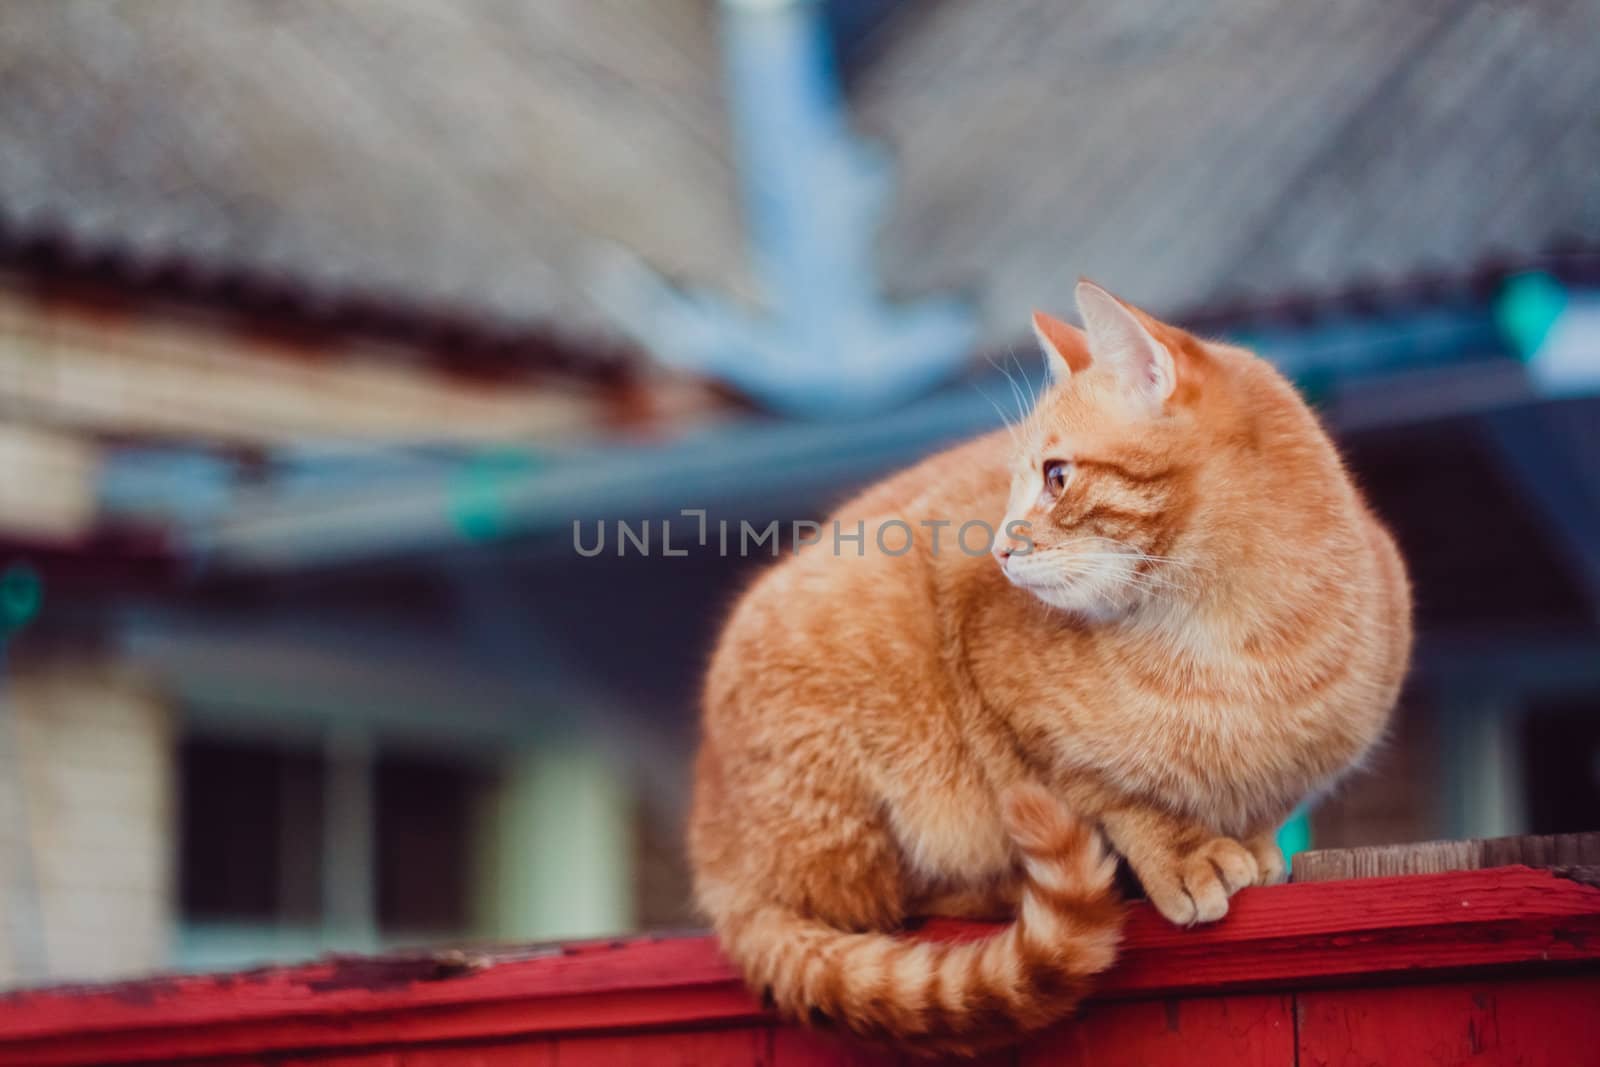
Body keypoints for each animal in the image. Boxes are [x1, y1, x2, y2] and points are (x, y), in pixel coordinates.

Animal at [688, 279, 1414, 1055]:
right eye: (1010, 486)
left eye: (1057, 477)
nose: (1000, 550)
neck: (1229, 637)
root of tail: (717, 859)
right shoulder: (1008, 709)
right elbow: (1107, 790)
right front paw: (1183, 848)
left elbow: (1265, 802)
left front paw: (1249, 841)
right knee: (876, 903)